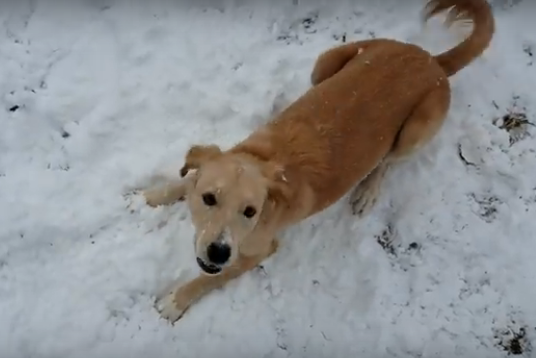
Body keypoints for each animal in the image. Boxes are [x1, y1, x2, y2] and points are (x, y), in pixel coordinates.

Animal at [141, 0, 494, 324]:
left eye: (250, 212)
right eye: (209, 198)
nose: (219, 251)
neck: (261, 159)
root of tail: (433, 61)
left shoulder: (258, 250)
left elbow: (209, 278)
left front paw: (176, 299)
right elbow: (184, 180)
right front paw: (148, 196)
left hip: (415, 129)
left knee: (387, 162)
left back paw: (367, 192)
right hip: (327, 61)